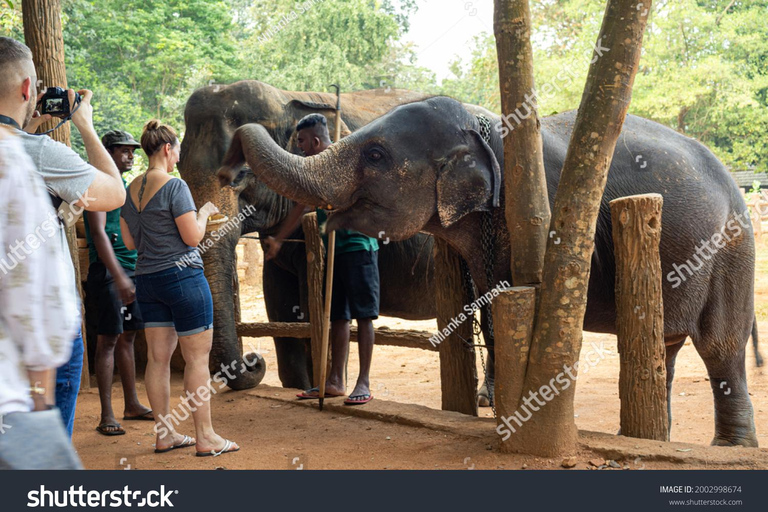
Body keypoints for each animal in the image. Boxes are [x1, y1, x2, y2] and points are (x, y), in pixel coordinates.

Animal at [219, 97, 764, 448]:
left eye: (375, 155)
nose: (228, 168)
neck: (487, 124)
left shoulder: (551, 216)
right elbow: (493, 305)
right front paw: (498, 405)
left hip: (732, 248)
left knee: (720, 346)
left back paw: (730, 447)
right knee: (664, 346)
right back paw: (654, 434)